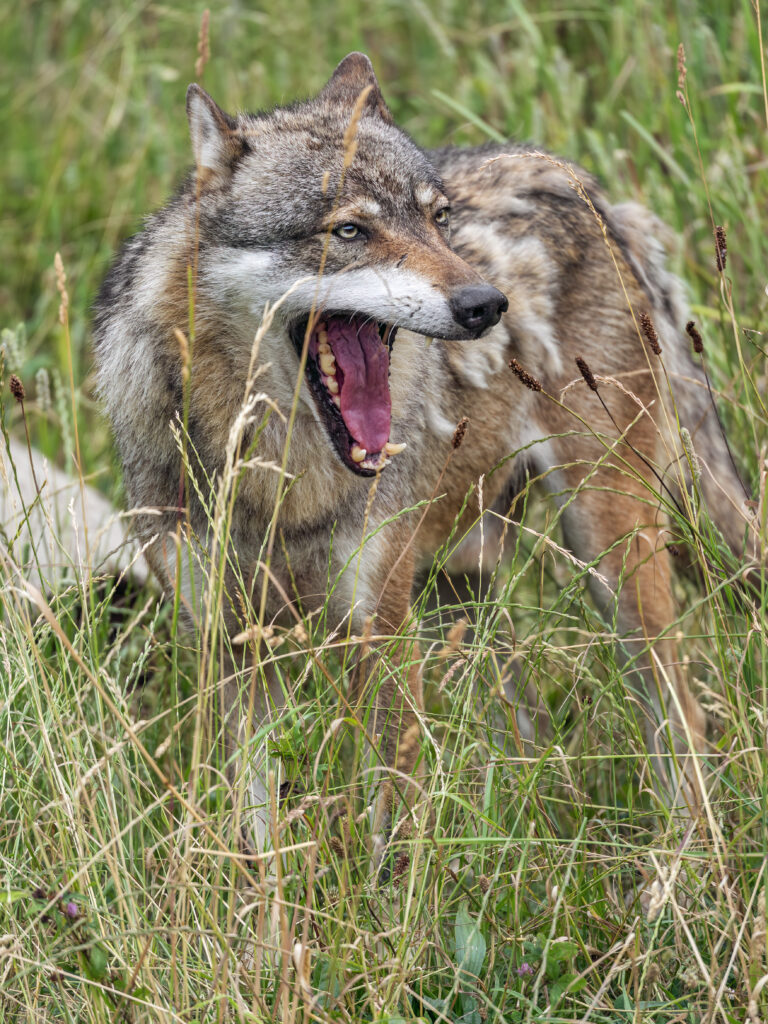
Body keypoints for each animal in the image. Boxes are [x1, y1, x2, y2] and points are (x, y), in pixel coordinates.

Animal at [94, 52, 752, 860]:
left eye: (438, 222)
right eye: (350, 230)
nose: (485, 305)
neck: (283, 480)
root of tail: (572, 179)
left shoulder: (381, 633)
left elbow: (390, 834)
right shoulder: (235, 647)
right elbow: (259, 832)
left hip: (608, 561)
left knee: (685, 719)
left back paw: (680, 871)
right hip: (460, 594)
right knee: (530, 731)